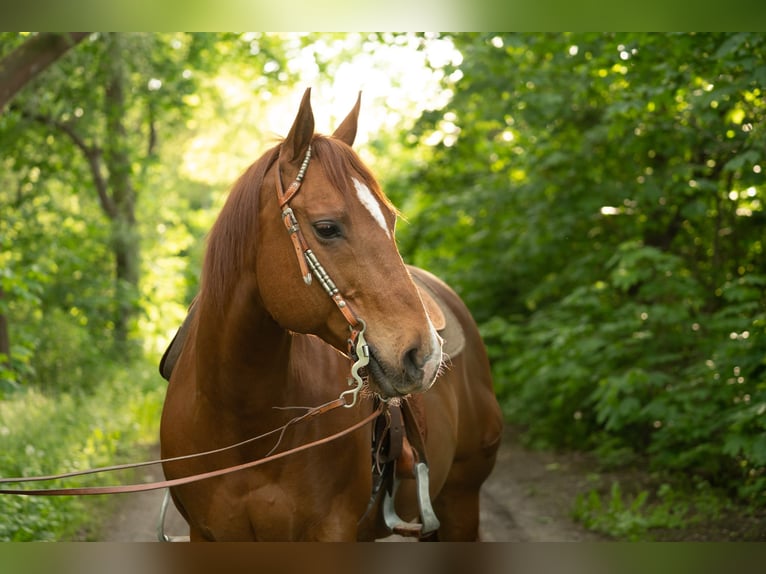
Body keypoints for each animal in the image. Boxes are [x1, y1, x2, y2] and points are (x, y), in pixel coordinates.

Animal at [159, 88, 503, 541]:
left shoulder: (331, 531)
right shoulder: (207, 534)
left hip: (462, 502)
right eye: (326, 228)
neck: (244, 427)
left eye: (390, 219)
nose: (425, 355)